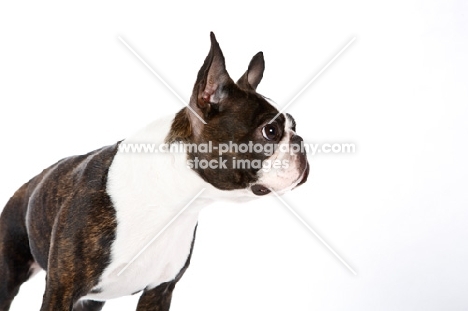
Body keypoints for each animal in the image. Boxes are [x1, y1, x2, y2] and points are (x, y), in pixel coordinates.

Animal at [0, 33, 308, 310]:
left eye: (295, 126)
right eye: (270, 131)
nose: (301, 142)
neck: (170, 197)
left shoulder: (160, 291)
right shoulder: (61, 289)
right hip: (9, 273)